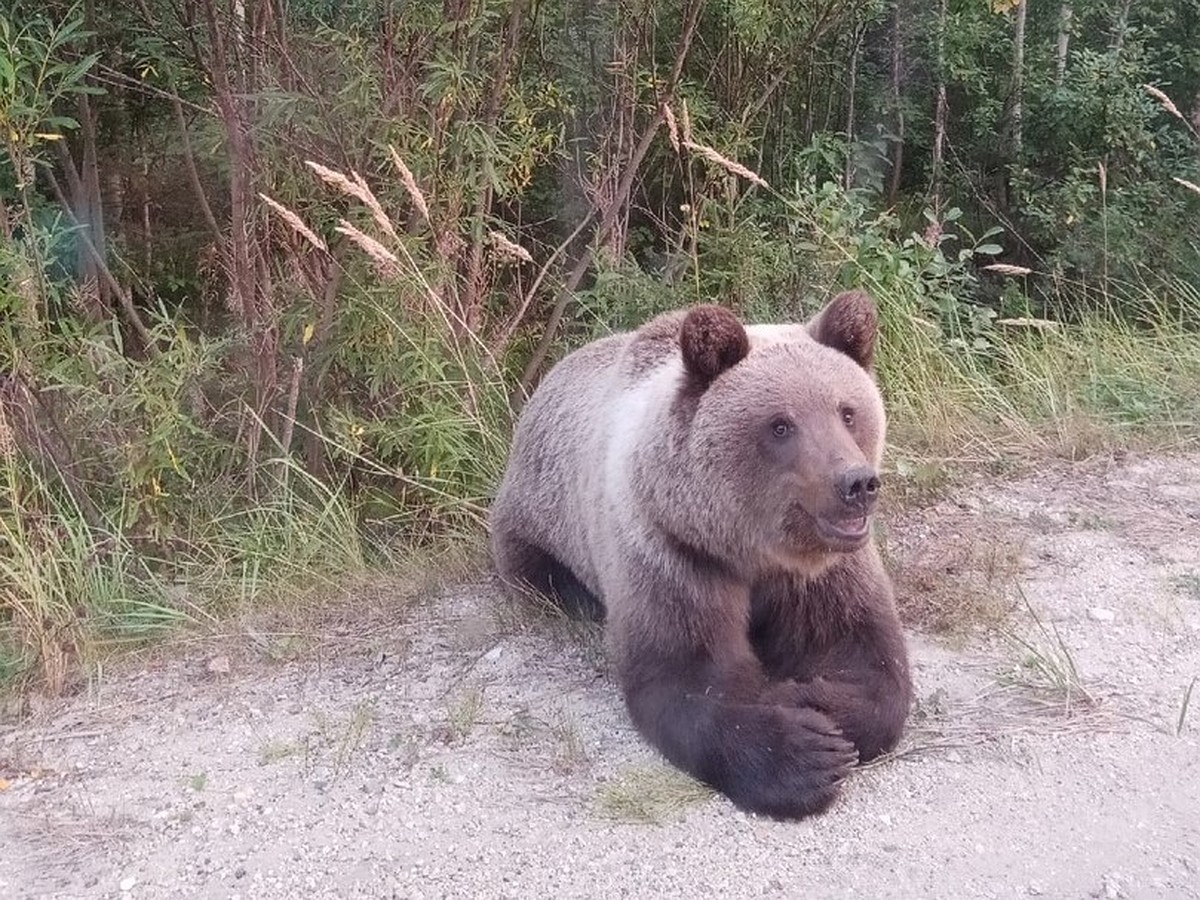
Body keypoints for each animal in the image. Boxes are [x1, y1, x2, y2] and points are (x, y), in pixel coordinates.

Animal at [487, 292, 907, 820]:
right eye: (780, 424)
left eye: (847, 411)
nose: (856, 483)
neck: (746, 548)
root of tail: (550, 376)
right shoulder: (671, 554)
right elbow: (687, 676)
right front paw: (804, 754)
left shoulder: (821, 573)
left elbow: (867, 658)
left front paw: (818, 701)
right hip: (538, 509)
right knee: (535, 569)